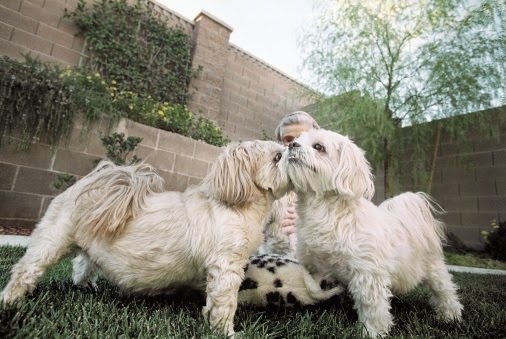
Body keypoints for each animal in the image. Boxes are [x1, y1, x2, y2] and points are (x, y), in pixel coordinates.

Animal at [0, 139, 290, 336]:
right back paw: (9, 301)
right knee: (26, 271)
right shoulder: (226, 266)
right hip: (53, 238)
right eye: (277, 156)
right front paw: (226, 332)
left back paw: (86, 288)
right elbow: (224, 303)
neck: (236, 205)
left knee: (83, 264)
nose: (291, 149)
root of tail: (90, 183)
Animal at [284, 129, 462, 338]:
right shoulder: (314, 267)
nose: (291, 145)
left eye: (319, 147)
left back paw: (450, 316)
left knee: (445, 290)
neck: (326, 213)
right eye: (294, 140)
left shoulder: (367, 272)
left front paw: (373, 331)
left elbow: (373, 307)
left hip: (433, 268)